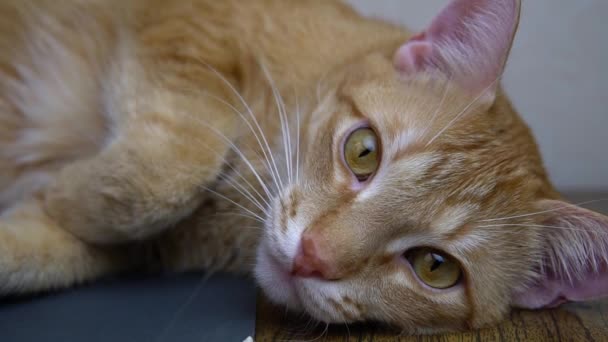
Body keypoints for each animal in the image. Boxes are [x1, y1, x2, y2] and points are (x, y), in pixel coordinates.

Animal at [1, 0, 608, 334]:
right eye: (363, 151)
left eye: (435, 267)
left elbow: (43, 246)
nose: (311, 256)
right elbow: (175, 168)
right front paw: (66, 190)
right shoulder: (186, 23)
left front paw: (52, 199)